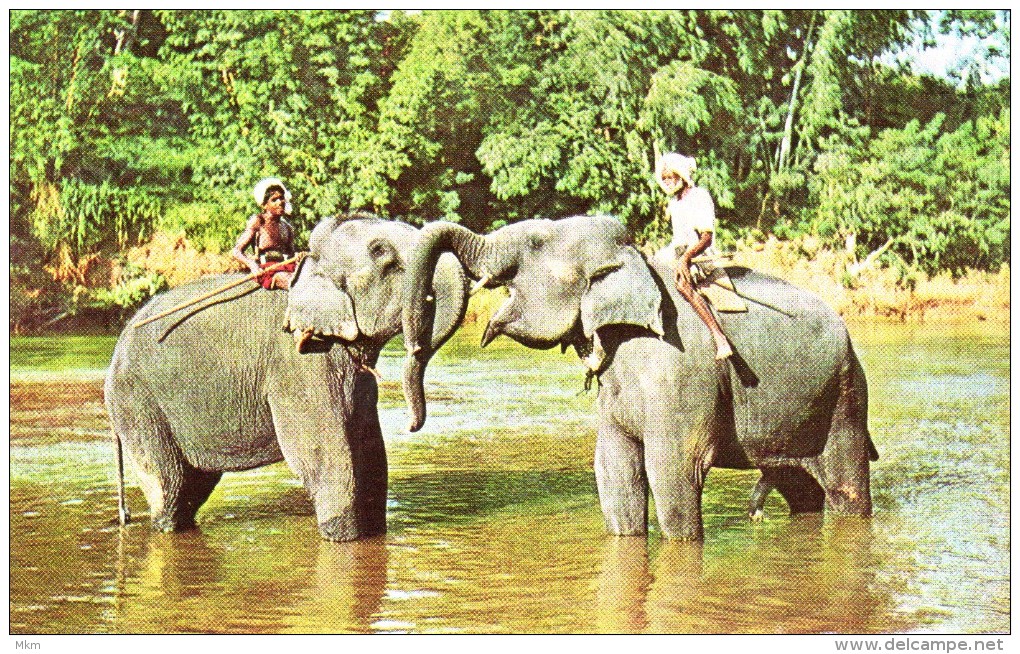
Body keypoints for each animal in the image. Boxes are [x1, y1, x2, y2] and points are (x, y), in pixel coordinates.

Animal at [106, 212, 467, 538]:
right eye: (382, 253)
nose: (411, 425)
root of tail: (115, 352)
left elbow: (370, 450)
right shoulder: (299, 364)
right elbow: (325, 455)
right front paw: (344, 537)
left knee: (193, 488)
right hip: (137, 403)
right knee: (170, 485)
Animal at [397, 216, 877, 538]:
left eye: (535, 242)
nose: (412, 425)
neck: (635, 262)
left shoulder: (680, 374)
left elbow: (673, 471)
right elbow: (614, 470)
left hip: (844, 396)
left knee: (846, 488)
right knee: (801, 490)